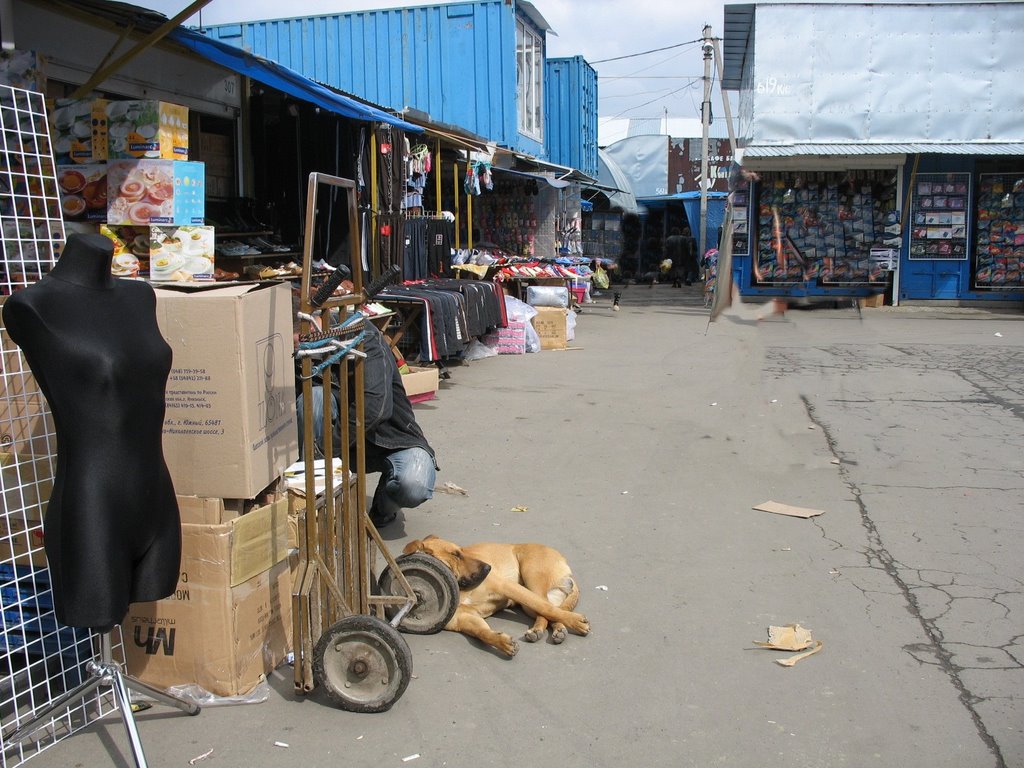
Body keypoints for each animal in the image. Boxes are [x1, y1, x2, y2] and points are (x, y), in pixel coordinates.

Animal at [401, 536, 593, 659]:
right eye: (456, 555)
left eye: (461, 550)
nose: (488, 568)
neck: (461, 589)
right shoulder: (464, 619)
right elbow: (482, 632)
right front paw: (502, 642)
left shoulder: (507, 586)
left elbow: (547, 608)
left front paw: (576, 622)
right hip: (530, 602)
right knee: (547, 613)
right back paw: (548, 629)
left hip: (532, 582)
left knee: (548, 608)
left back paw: (564, 624)